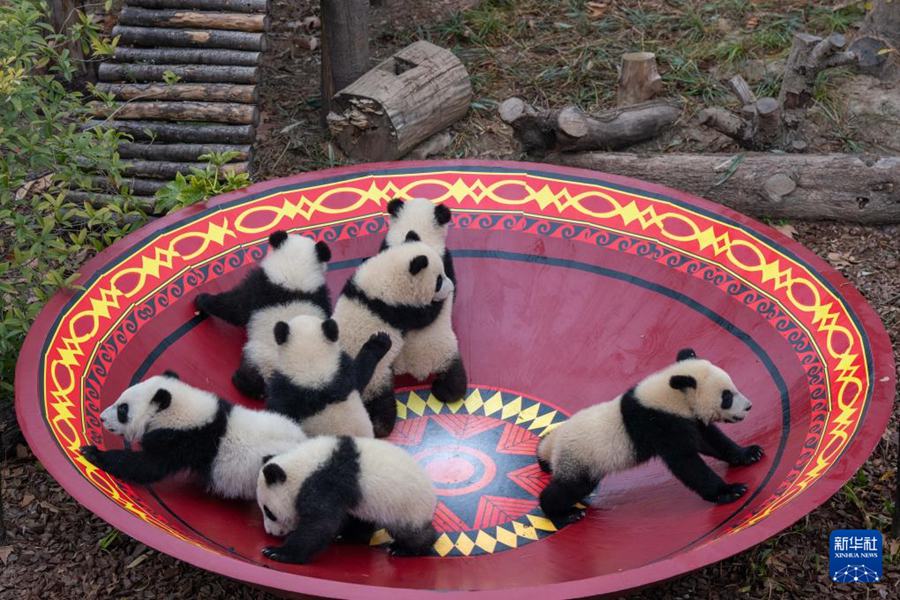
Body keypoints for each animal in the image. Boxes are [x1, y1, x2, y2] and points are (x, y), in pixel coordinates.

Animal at [195, 230, 332, 400]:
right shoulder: (321, 298)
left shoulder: (257, 287)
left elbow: (233, 306)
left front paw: (201, 300)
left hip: (259, 356)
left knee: (252, 376)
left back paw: (241, 381)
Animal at [256, 435, 437, 564]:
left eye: (269, 512)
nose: (271, 533)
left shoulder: (326, 482)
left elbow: (321, 524)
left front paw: (276, 552)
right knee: (362, 519)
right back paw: (347, 536)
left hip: (406, 505)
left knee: (409, 532)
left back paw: (406, 549)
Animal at [332, 241, 454, 437]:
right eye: (438, 281)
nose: (449, 286)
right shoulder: (397, 311)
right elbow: (425, 317)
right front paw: (438, 303)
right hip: (377, 379)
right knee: (383, 404)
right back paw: (382, 426)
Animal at [537, 348, 764, 521]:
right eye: (726, 397)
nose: (749, 406)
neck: (671, 394)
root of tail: (554, 443)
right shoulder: (658, 423)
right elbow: (686, 462)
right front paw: (730, 491)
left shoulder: (685, 417)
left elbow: (710, 441)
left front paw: (749, 453)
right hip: (581, 457)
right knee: (571, 487)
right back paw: (563, 514)